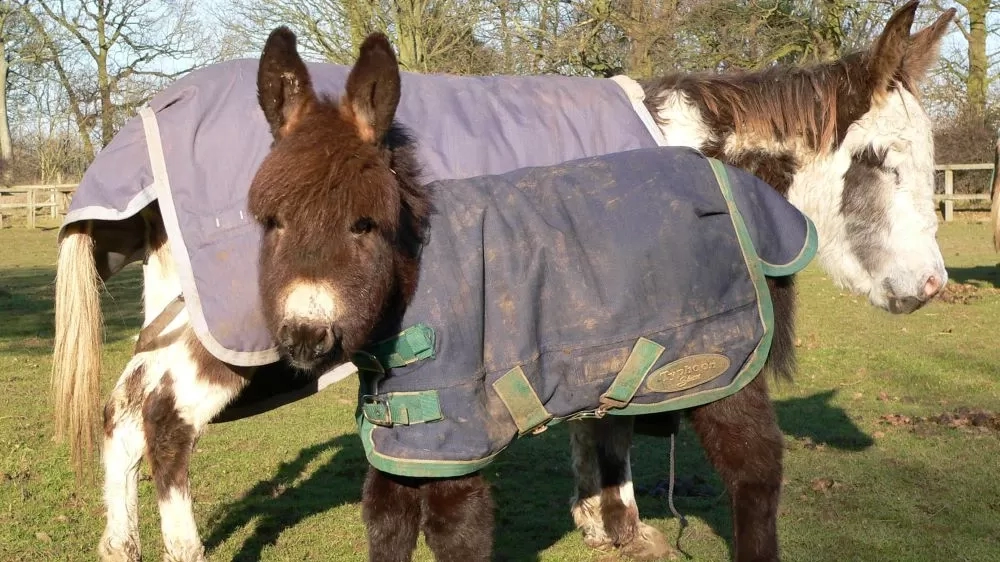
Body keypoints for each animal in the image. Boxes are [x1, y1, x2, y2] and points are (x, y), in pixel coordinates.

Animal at [50, 1, 953, 560]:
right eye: (879, 162)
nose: (932, 289)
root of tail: (145, 122)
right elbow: (617, 429)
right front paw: (625, 526)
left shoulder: (598, 317)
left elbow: (599, 423)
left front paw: (598, 519)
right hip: (237, 330)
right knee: (165, 418)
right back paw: (183, 547)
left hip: (175, 307)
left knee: (123, 408)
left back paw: (119, 542)